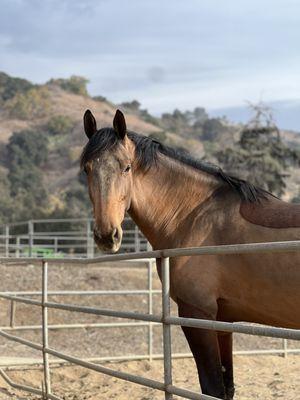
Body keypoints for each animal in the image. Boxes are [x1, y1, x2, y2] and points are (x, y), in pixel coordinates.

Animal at [80, 108, 300, 398]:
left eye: (126, 167)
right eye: (86, 169)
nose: (107, 236)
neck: (192, 215)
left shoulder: (197, 314)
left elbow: (212, 388)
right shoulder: (222, 321)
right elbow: (227, 387)